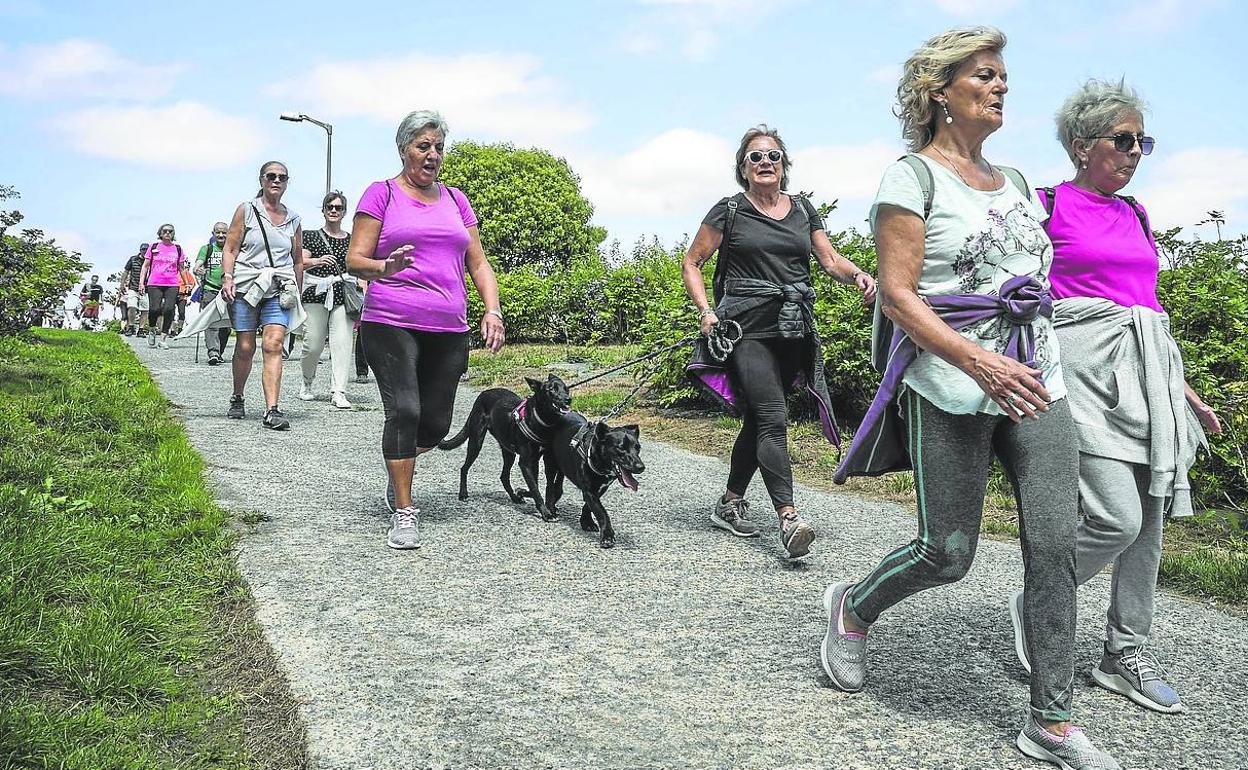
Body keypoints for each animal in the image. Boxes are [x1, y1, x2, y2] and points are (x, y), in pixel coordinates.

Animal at [439, 374, 571, 516]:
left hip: (508, 451)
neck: (540, 420)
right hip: (476, 442)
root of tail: (483, 393)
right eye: (550, 390)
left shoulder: (537, 460)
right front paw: (545, 513)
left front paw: (523, 493)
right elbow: (535, 489)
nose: (568, 399)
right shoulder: (525, 463)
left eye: (566, 388)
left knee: (503, 477)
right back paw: (463, 493)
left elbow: (536, 486)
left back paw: (514, 497)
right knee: (464, 468)